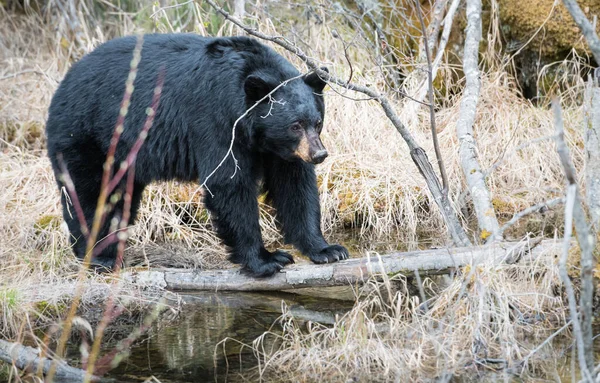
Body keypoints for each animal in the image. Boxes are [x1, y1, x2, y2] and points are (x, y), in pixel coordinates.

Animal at [47, 34, 350, 278]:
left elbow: (295, 185)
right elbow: (228, 183)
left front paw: (327, 249)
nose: (319, 154)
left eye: (317, 122)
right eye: (295, 125)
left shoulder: (279, 150)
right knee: (92, 193)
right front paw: (266, 260)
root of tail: (64, 82)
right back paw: (99, 256)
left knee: (120, 199)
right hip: (89, 134)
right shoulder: (217, 120)